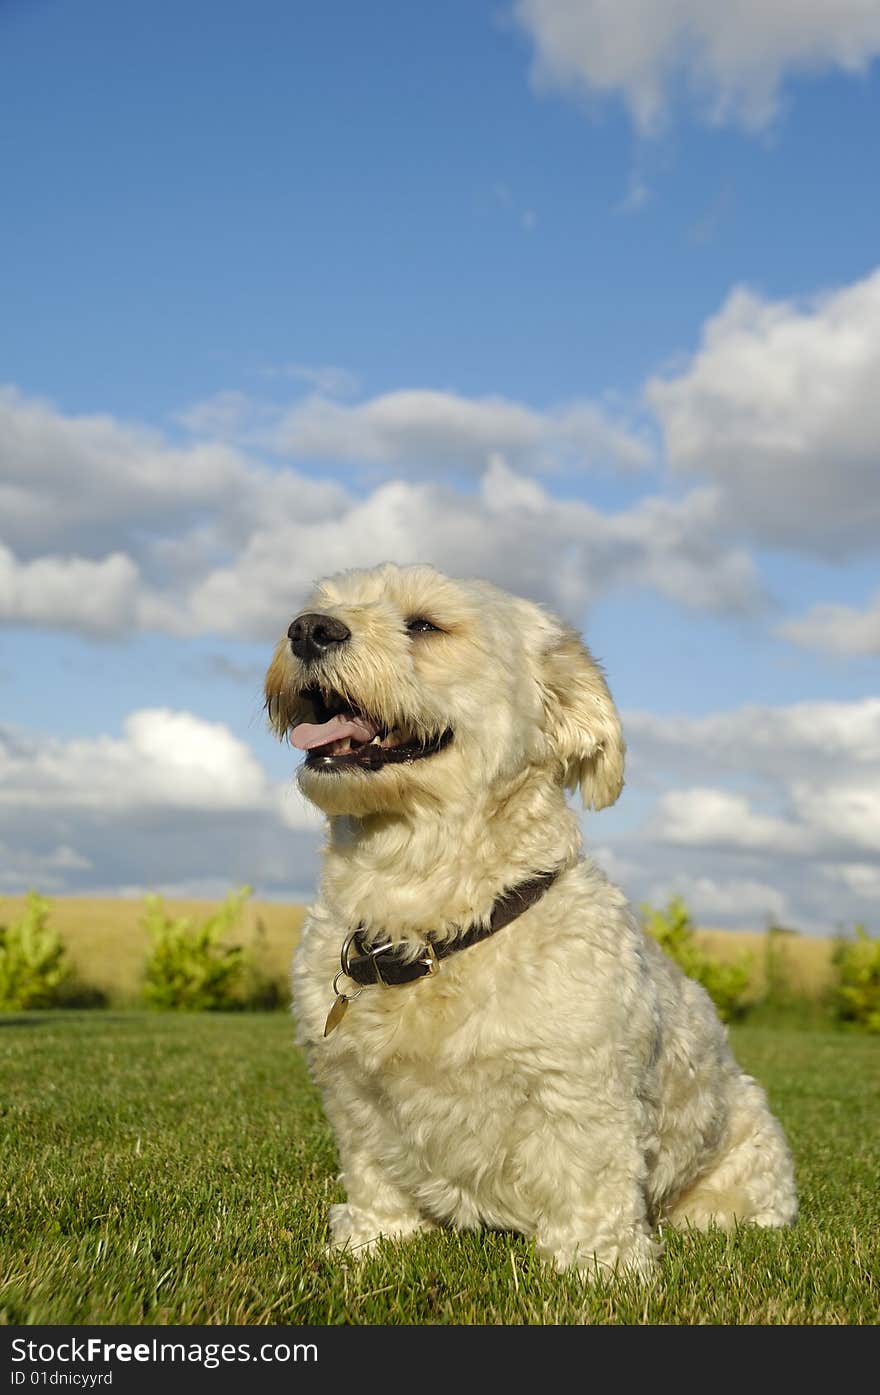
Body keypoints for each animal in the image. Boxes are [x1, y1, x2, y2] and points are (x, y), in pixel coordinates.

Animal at [263, 560, 797, 1277]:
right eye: (320, 606)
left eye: (425, 625)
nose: (308, 629)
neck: (427, 923)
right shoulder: (353, 1091)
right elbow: (374, 1173)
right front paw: (374, 1240)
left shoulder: (580, 1090)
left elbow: (589, 1184)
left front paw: (598, 1269)